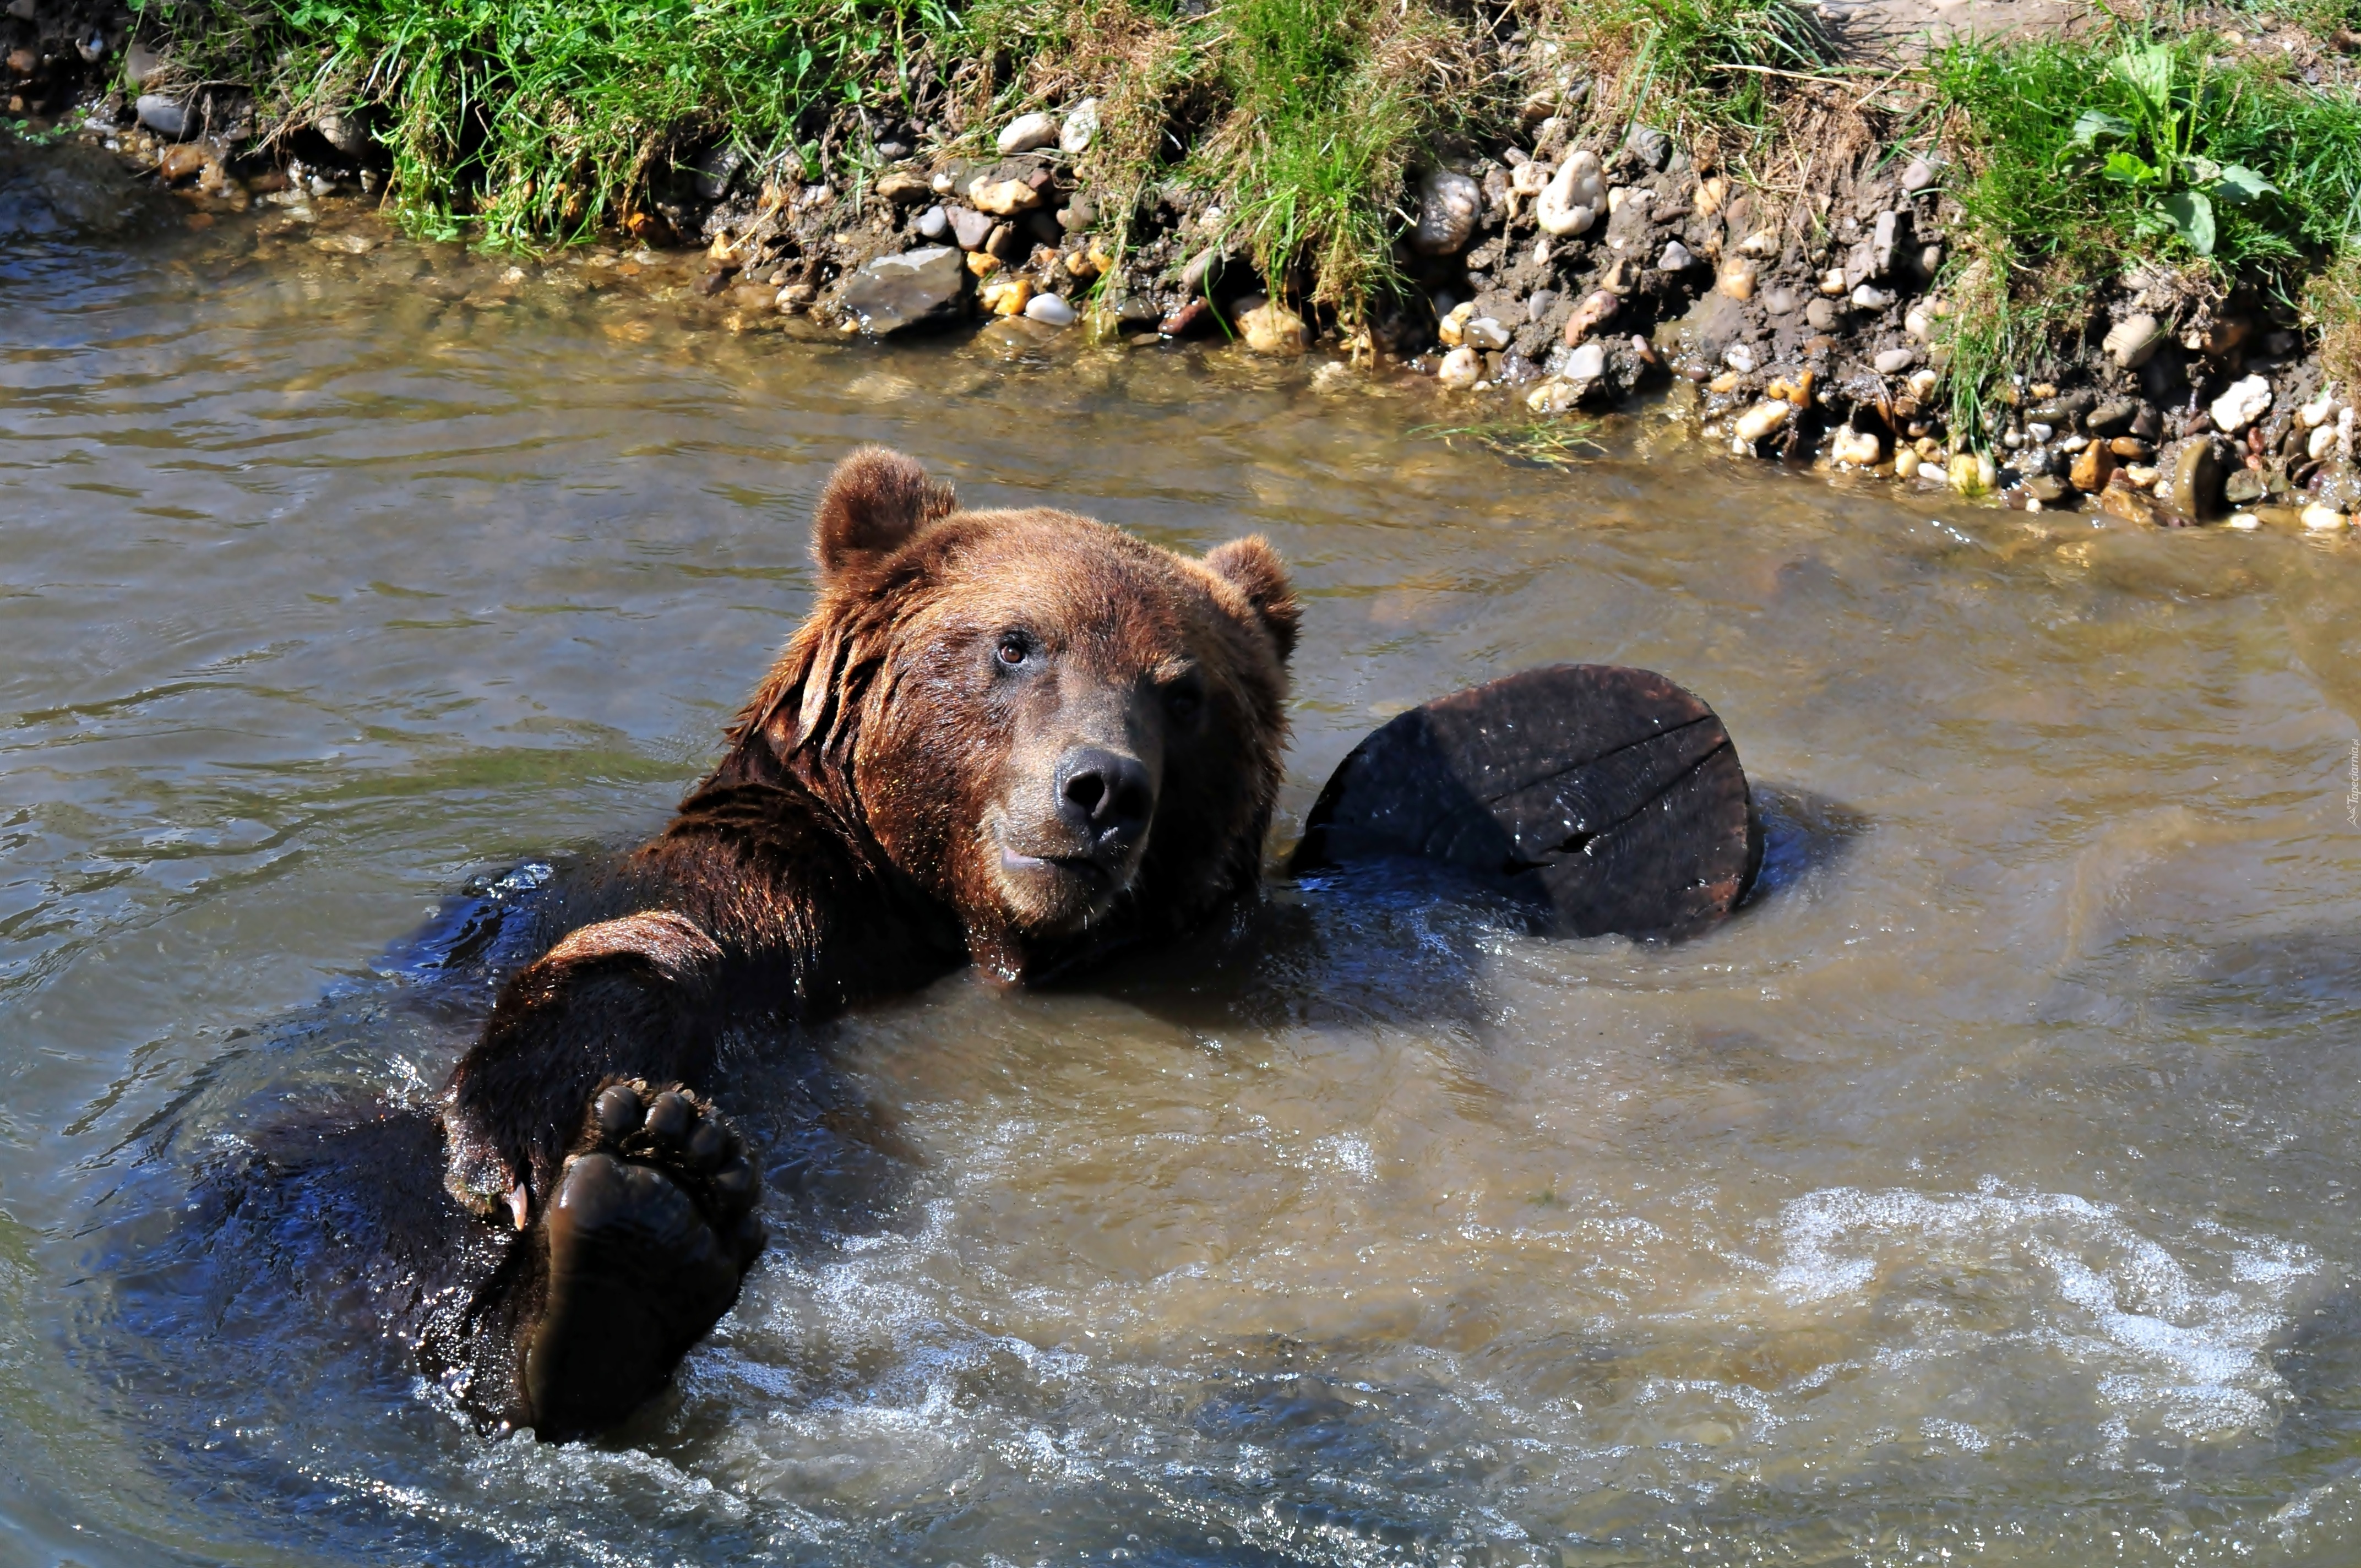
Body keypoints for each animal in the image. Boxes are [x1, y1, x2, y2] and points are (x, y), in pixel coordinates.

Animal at [432, 446, 1303, 1435]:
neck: (966, 926)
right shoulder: (780, 896)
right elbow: (642, 945)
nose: (1104, 789)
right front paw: (512, 1142)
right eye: (1017, 643)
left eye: (1185, 693)